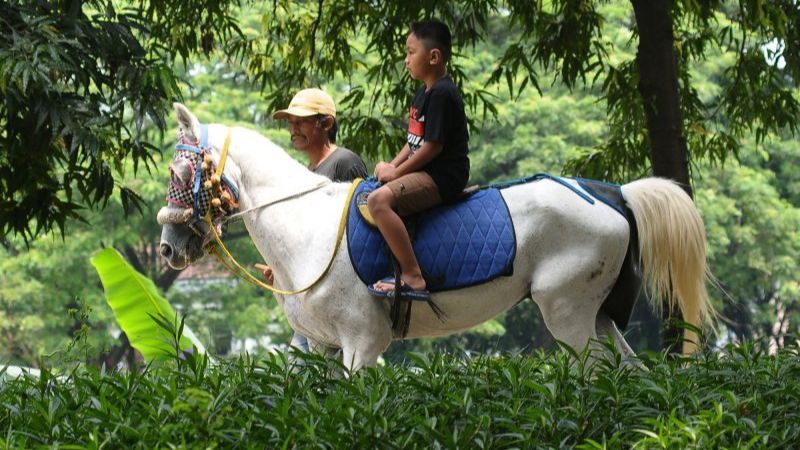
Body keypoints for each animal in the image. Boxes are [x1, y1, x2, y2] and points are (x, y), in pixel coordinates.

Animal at [158, 103, 712, 370]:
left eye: (180, 171)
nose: (167, 248)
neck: (307, 229)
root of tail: (611, 192)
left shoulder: (363, 341)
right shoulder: (321, 346)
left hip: (567, 313)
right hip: (597, 316)